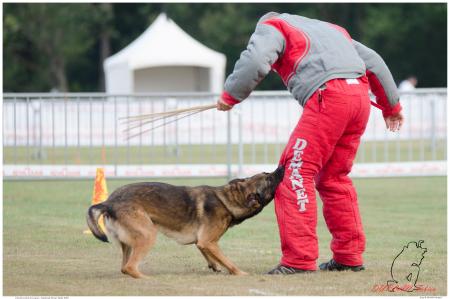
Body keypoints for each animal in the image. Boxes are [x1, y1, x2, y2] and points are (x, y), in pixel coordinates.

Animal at [85, 166, 284, 278]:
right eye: (269, 178)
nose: (282, 167)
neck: (229, 200)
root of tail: (109, 202)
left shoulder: (203, 242)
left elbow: (209, 255)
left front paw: (214, 266)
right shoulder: (208, 241)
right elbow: (228, 261)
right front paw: (240, 273)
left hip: (128, 242)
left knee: (123, 267)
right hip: (148, 235)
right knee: (129, 267)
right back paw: (146, 278)